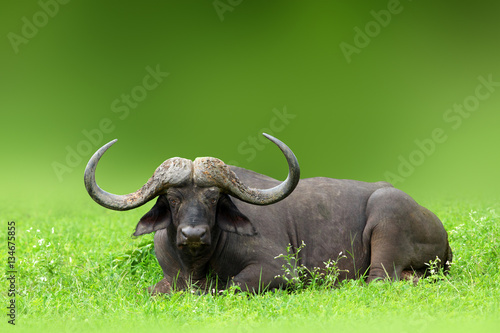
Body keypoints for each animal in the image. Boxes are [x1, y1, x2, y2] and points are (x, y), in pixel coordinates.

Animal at [84, 134, 452, 292]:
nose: (193, 235)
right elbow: (154, 289)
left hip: (386, 216)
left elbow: (229, 285)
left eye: (214, 198)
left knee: (378, 279)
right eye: (173, 199)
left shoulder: (280, 271)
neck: (197, 265)